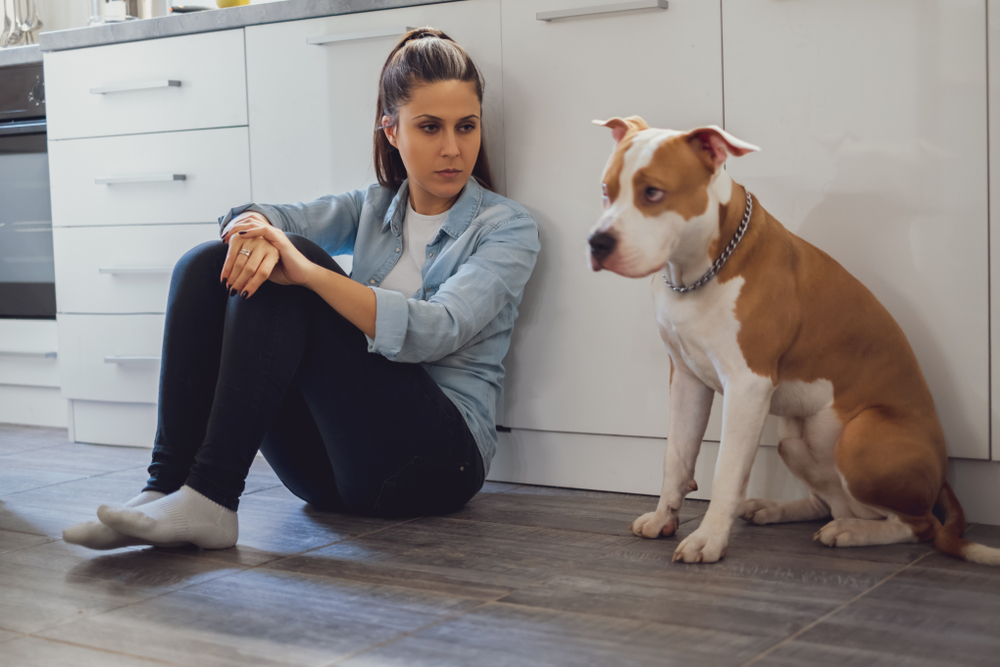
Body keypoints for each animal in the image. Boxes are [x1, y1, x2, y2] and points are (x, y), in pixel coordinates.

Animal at [584, 115, 1000, 564]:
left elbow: (727, 471)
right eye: (606, 190)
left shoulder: (747, 386)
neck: (696, 271)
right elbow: (676, 456)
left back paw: (852, 533)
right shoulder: (687, 379)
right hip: (793, 440)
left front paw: (707, 539)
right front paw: (665, 518)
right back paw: (777, 509)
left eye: (653, 192)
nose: (597, 242)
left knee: (918, 525)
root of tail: (943, 474)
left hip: (860, 437)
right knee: (834, 502)